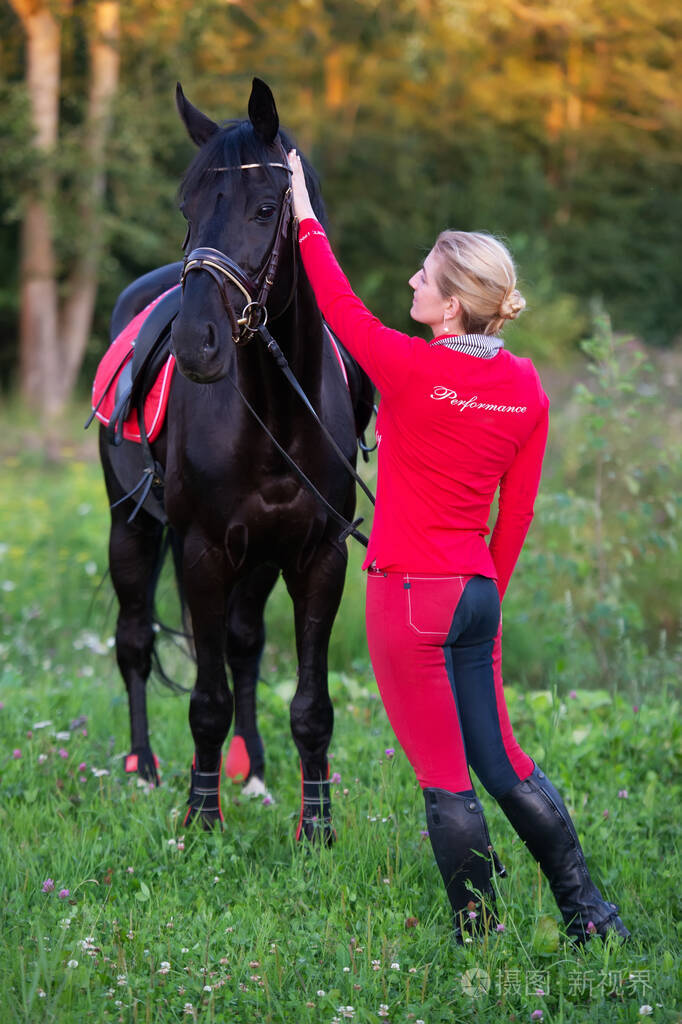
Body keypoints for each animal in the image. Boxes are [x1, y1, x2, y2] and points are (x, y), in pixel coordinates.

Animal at [99, 75, 372, 835]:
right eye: (187, 206)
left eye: (264, 208)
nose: (196, 343)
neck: (277, 410)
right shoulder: (202, 551)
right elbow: (205, 700)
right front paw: (200, 819)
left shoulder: (318, 555)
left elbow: (310, 706)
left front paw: (317, 828)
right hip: (132, 527)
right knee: (135, 642)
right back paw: (143, 769)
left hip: (260, 559)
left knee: (246, 647)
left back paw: (251, 773)